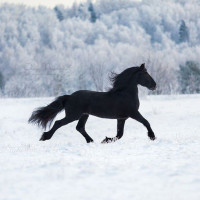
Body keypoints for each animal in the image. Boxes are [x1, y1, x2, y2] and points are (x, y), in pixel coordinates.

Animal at [28, 63, 156, 143]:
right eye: (145, 73)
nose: (154, 85)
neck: (124, 94)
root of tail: (69, 97)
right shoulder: (133, 113)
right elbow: (146, 122)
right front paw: (152, 137)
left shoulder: (122, 118)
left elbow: (119, 134)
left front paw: (105, 140)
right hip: (73, 115)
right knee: (58, 123)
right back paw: (45, 137)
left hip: (84, 115)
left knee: (79, 127)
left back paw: (91, 141)